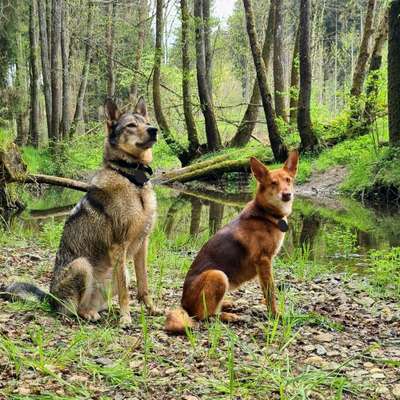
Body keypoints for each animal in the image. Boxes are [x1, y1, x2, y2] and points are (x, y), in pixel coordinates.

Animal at [164, 152, 298, 332]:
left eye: (288, 180)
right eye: (273, 183)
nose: (286, 194)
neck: (266, 215)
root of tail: (183, 305)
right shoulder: (263, 261)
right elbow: (270, 292)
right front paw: (275, 314)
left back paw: (227, 304)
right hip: (218, 275)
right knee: (206, 316)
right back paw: (228, 316)